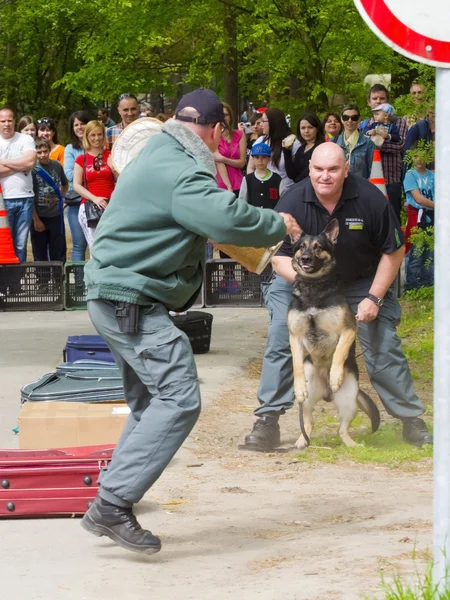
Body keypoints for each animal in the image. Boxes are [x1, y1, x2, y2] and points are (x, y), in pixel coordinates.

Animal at [286, 218, 378, 448]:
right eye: (301, 247)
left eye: (318, 247)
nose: (306, 258)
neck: (313, 287)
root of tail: (326, 394)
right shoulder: (294, 336)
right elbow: (297, 365)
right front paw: (298, 386)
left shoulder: (348, 329)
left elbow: (338, 354)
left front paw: (335, 375)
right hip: (308, 402)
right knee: (308, 422)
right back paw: (302, 441)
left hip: (348, 403)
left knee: (342, 430)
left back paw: (352, 445)